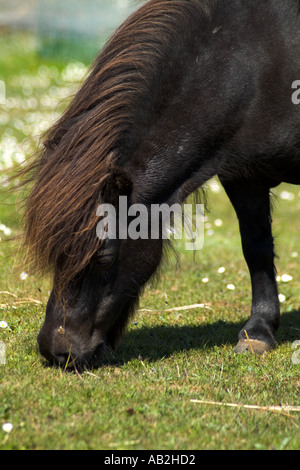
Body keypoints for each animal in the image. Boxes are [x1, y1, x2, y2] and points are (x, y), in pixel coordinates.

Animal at [24, 0, 300, 368]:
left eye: (104, 258)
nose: (56, 351)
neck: (261, 59)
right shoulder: (243, 176)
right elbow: (256, 248)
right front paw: (258, 331)